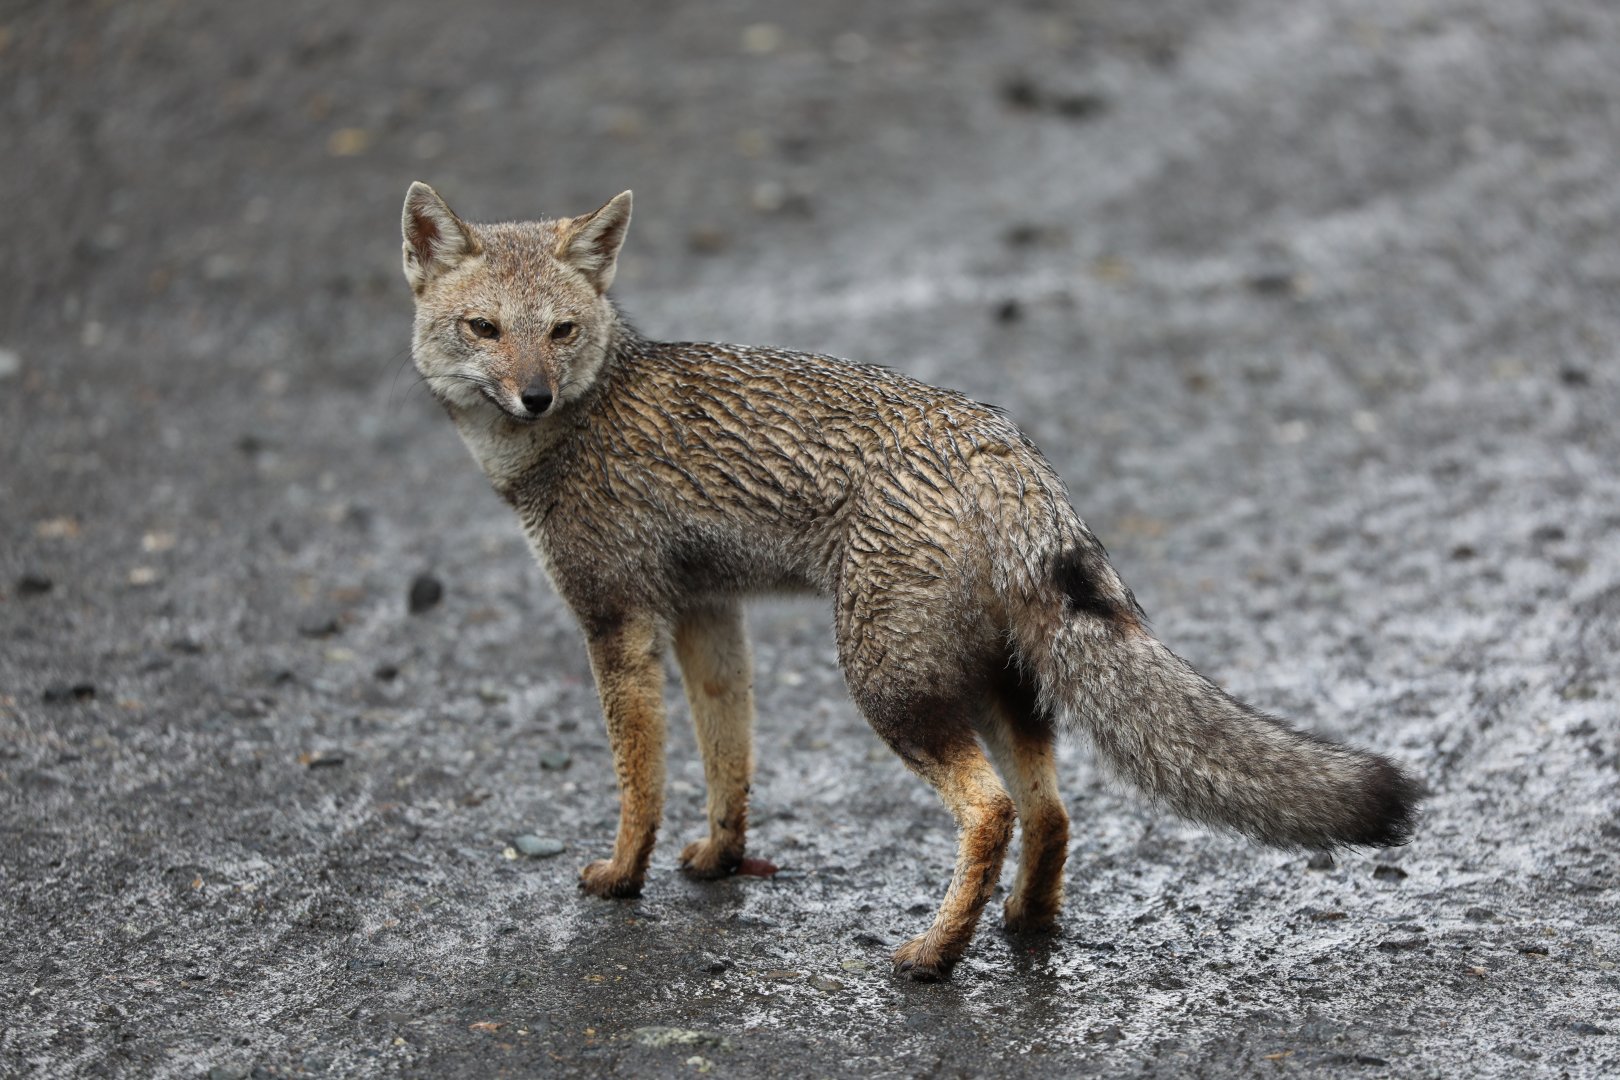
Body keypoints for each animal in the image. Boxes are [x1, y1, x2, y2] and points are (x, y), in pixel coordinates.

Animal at [400, 182, 1425, 980]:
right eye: (484, 329)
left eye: (561, 332)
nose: (533, 395)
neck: (576, 422)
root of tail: (1000, 449)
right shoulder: (707, 615)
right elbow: (730, 758)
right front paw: (722, 858)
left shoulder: (613, 619)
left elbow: (639, 780)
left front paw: (622, 877)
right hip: (995, 684)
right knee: (1051, 811)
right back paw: (1023, 923)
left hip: (887, 686)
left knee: (993, 811)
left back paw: (935, 955)